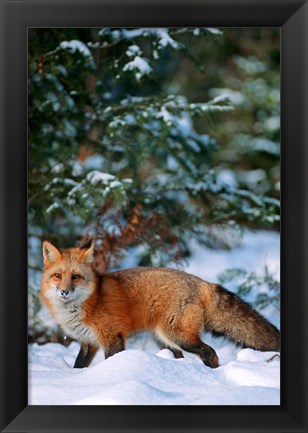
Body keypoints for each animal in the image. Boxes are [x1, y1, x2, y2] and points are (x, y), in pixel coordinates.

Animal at [39, 240, 280, 368]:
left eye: (76, 277)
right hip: (164, 340)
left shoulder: (112, 338)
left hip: (178, 336)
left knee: (210, 352)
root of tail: (202, 282)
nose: (64, 292)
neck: (88, 302)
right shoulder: (89, 343)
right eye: (58, 276)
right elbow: (78, 366)